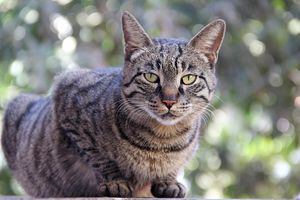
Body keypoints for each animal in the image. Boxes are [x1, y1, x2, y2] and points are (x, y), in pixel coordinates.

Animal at [0, 11, 225, 198]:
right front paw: (115, 182)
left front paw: (168, 182)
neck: (161, 140)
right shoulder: (66, 93)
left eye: (188, 79)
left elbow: (174, 167)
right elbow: (98, 157)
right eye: (151, 77)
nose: (169, 100)